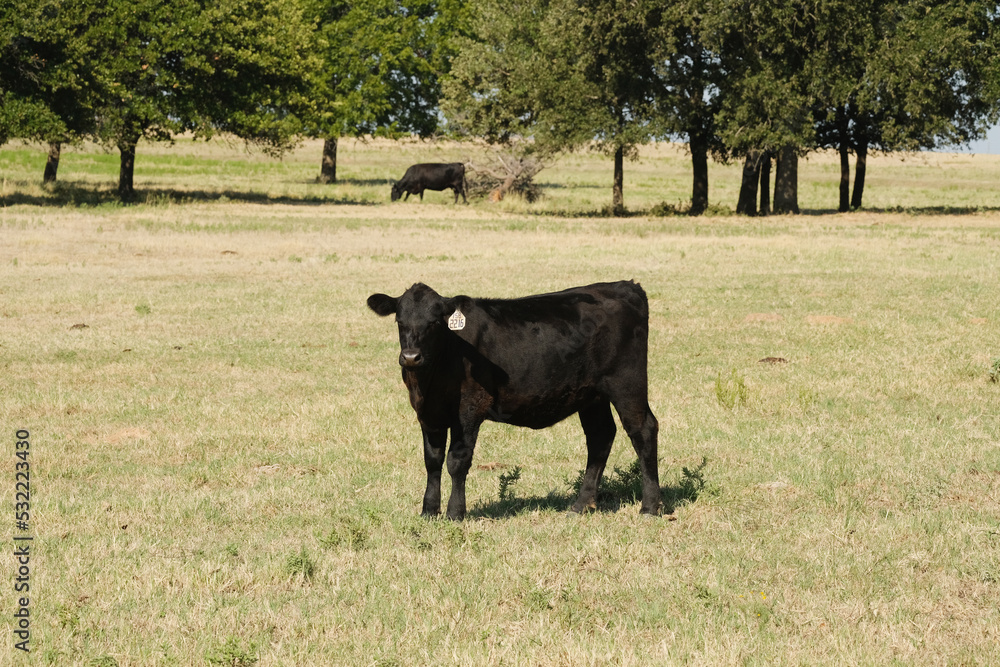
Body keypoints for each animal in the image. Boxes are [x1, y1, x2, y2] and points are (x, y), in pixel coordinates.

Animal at [366, 281, 661, 520]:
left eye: (434, 322)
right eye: (400, 321)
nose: (411, 357)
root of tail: (625, 286)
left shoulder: (470, 407)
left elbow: (456, 460)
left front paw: (455, 513)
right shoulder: (429, 413)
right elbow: (432, 460)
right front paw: (428, 511)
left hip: (626, 383)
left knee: (643, 430)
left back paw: (650, 507)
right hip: (591, 395)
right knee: (600, 437)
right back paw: (581, 505)